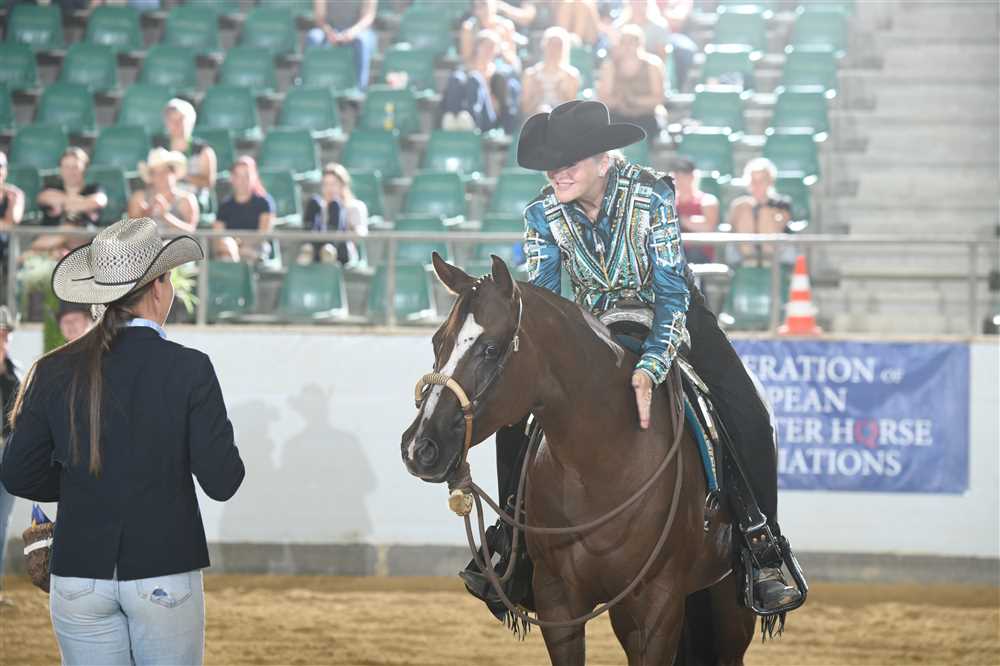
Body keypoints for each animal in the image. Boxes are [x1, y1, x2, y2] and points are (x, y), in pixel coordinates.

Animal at [401, 254, 756, 666]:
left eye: (490, 349)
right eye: (437, 341)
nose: (419, 446)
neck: (604, 463)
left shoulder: (657, 606)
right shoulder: (557, 600)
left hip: (730, 607)